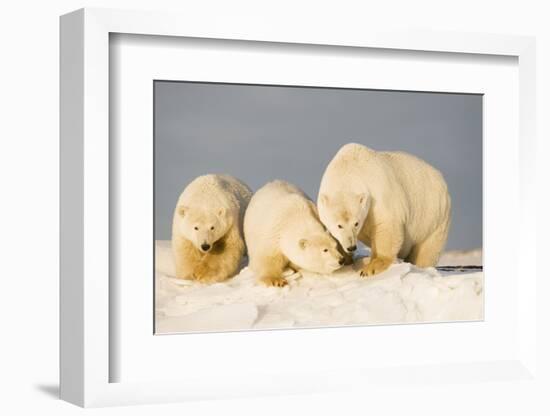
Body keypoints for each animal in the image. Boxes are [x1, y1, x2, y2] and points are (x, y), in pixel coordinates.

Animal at [320, 143, 452, 276]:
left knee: (426, 251)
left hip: (432, 217)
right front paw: (344, 258)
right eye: (339, 225)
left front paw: (371, 267)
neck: (348, 169)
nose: (351, 247)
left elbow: (387, 226)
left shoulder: (378, 194)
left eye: (356, 223)